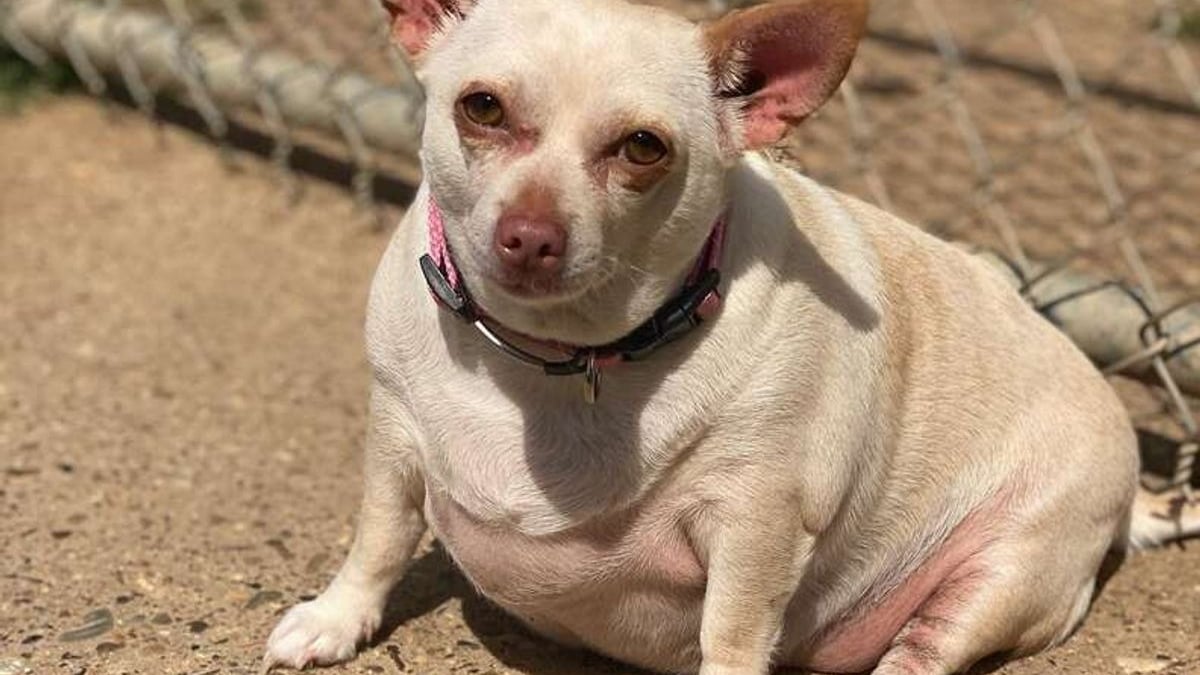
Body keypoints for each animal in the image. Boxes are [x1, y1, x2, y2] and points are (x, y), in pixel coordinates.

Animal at [265, 1, 1200, 672]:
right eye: (482, 108)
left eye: (643, 148)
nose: (530, 234)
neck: (556, 360)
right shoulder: (395, 441)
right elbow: (378, 539)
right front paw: (334, 618)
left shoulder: (756, 524)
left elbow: (734, 632)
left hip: (1005, 572)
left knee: (924, 652)